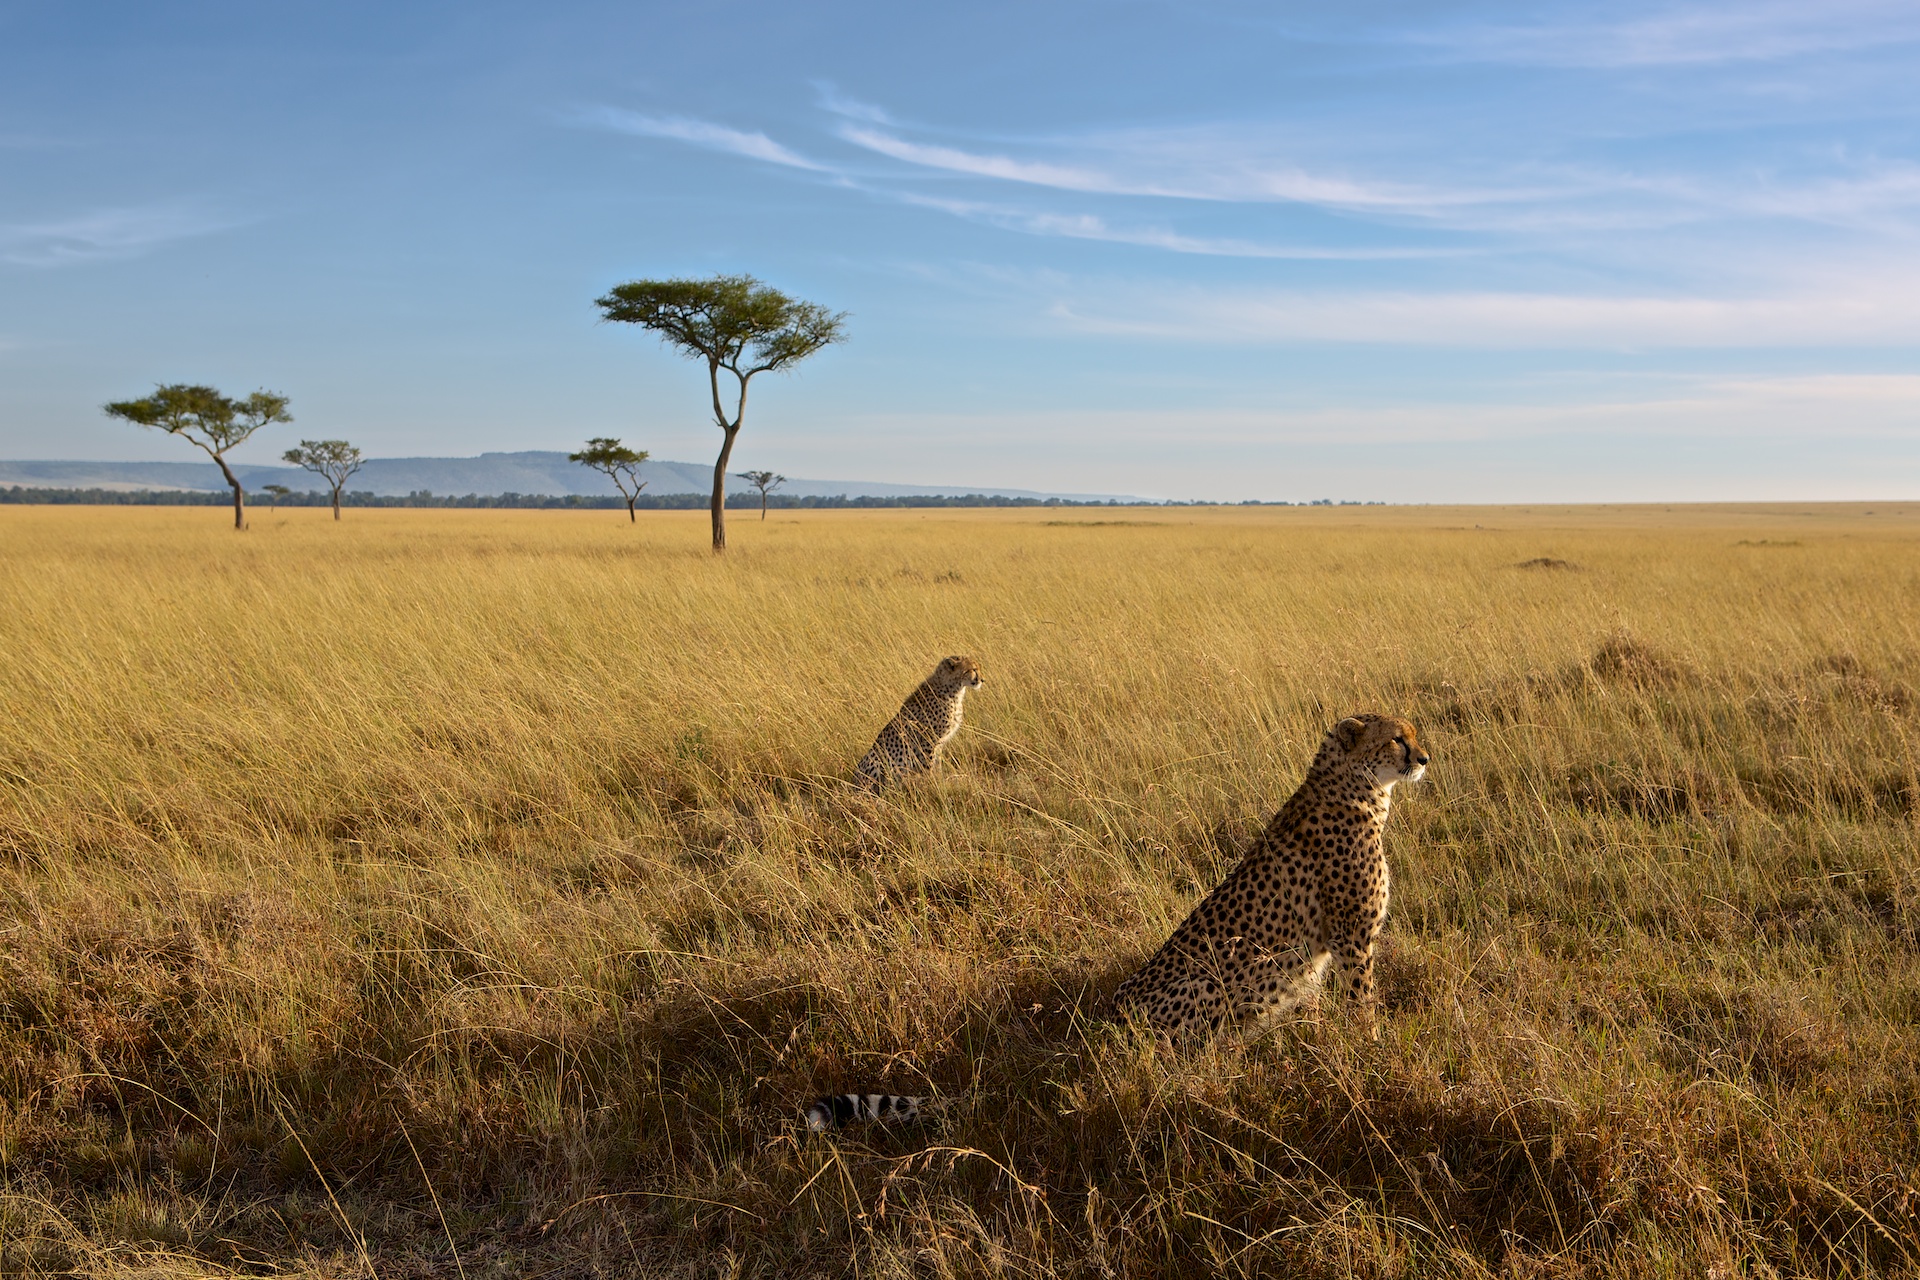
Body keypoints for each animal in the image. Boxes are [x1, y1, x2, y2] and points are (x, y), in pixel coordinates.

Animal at [856, 656, 983, 786]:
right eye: (973, 669)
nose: (982, 680)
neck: (953, 689)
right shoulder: (928, 740)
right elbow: (928, 764)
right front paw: (931, 782)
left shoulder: (939, 743)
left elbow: (937, 763)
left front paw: (939, 779)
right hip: (875, 758)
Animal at [1113, 717, 1428, 1036]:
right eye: (1396, 739)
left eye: (1413, 734)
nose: (1424, 759)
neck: (1354, 790)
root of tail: (1115, 1012)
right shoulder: (1352, 936)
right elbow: (1362, 998)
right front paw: (1370, 1040)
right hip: (1207, 985)